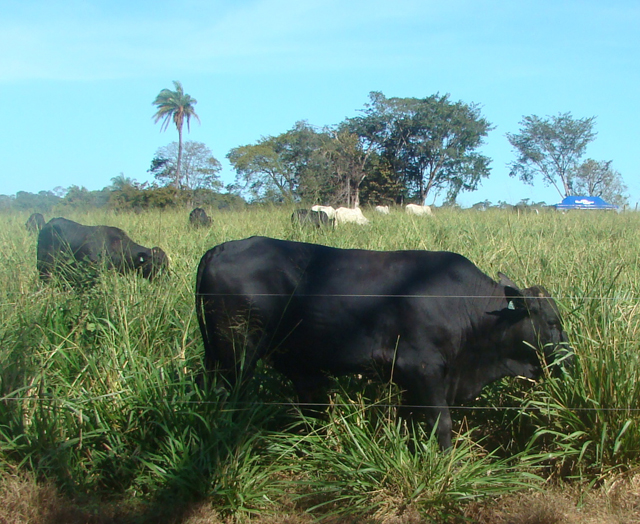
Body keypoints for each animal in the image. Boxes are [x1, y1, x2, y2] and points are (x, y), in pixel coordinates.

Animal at [195, 235, 568, 448]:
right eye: (552, 322)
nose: (570, 358)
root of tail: (218, 249)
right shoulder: (422, 367)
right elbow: (442, 423)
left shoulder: (410, 379)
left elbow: (410, 419)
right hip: (236, 356)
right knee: (229, 399)